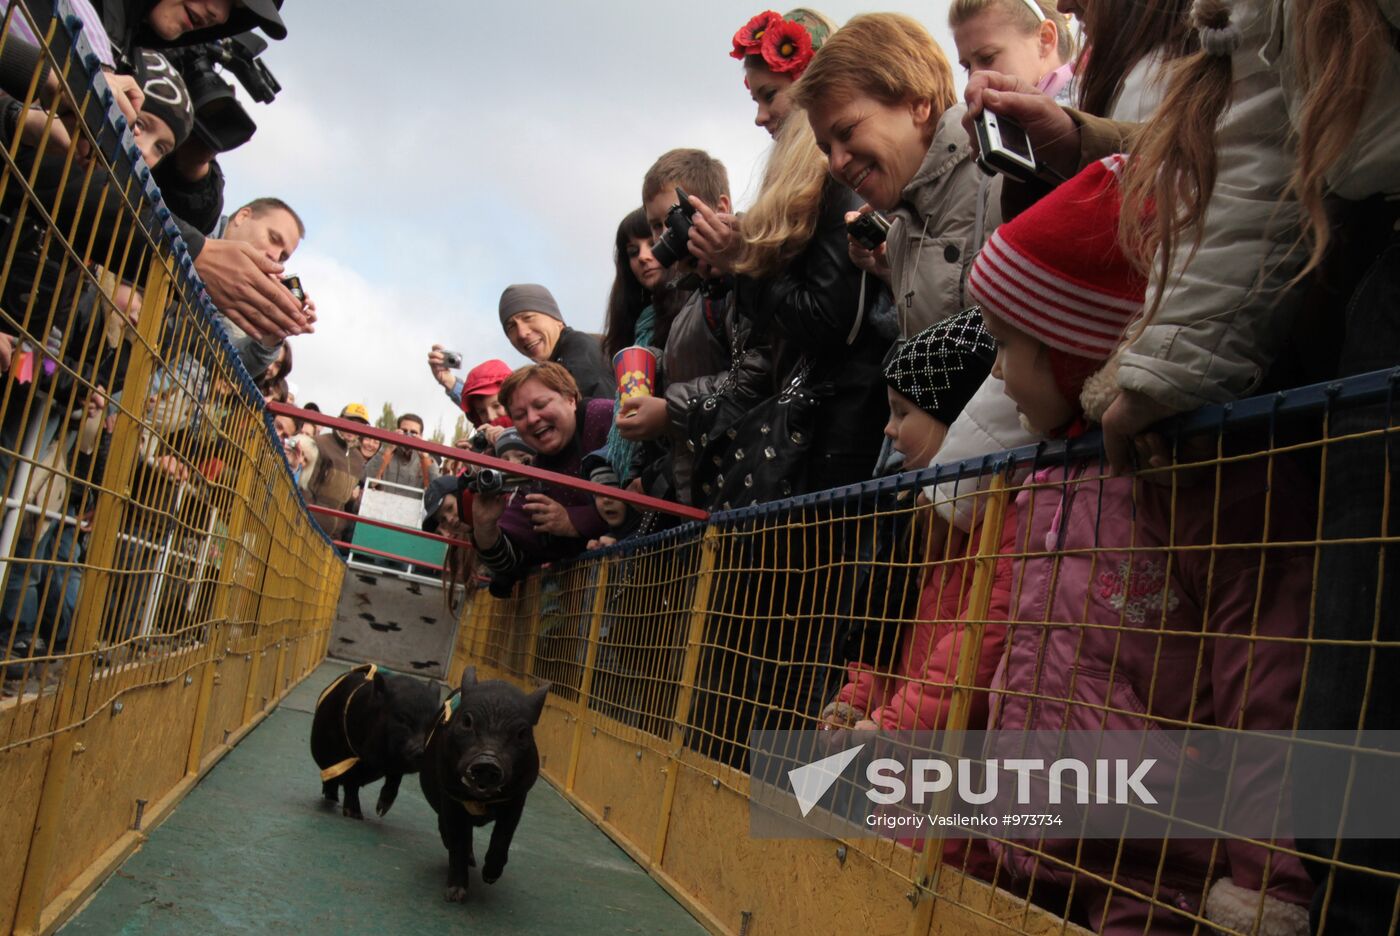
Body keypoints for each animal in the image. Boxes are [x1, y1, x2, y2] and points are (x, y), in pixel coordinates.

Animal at [310, 663, 436, 817]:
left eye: (433, 724)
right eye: (403, 719)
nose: (422, 751)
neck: (378, 761)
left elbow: (395, 779)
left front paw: (381, 812)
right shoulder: (348, 756)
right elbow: (351, 783)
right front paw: (355, 815)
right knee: (330, 781)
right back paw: (332, 800)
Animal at [417, 660, 548, 901]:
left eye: (522, 733)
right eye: (467, 722)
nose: (488, 761)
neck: (480, 802)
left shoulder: (517, 798)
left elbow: (503, 836)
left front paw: (490, 878)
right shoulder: (451, 795)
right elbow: (457, 840)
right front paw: (455, 895)